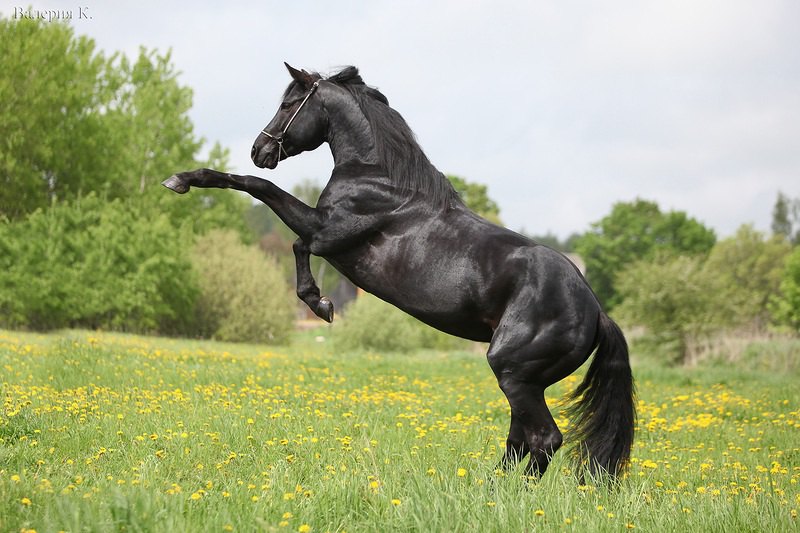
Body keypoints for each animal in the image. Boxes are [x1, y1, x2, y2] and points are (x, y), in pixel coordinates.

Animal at [164, 63, 636, 478]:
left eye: (288, 103)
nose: (259, 151)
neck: (379, 179)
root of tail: (595, 310)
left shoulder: (327, 233)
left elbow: (270, 205)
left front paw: (320, 303)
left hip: (514, 373)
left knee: (542, 440)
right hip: (526, 382)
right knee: (520, 441)